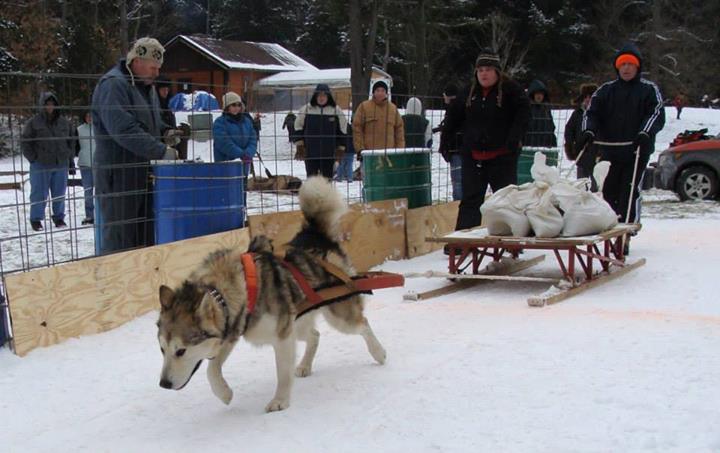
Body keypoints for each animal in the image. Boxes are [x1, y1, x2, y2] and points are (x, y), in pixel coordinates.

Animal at [155, 176, 386, 410]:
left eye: (181, 351)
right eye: (162, 350)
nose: (163, 384)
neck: (236, 289)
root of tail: (314, 234)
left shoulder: (281, 337)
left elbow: (282, 374)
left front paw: (280, 401)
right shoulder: (233, 331)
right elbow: (212, 369)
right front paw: (224, 393)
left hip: (337, 316)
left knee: (362, 324)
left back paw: (379, 352)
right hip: (298, 322)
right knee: (314, 335)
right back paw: (305, 365)